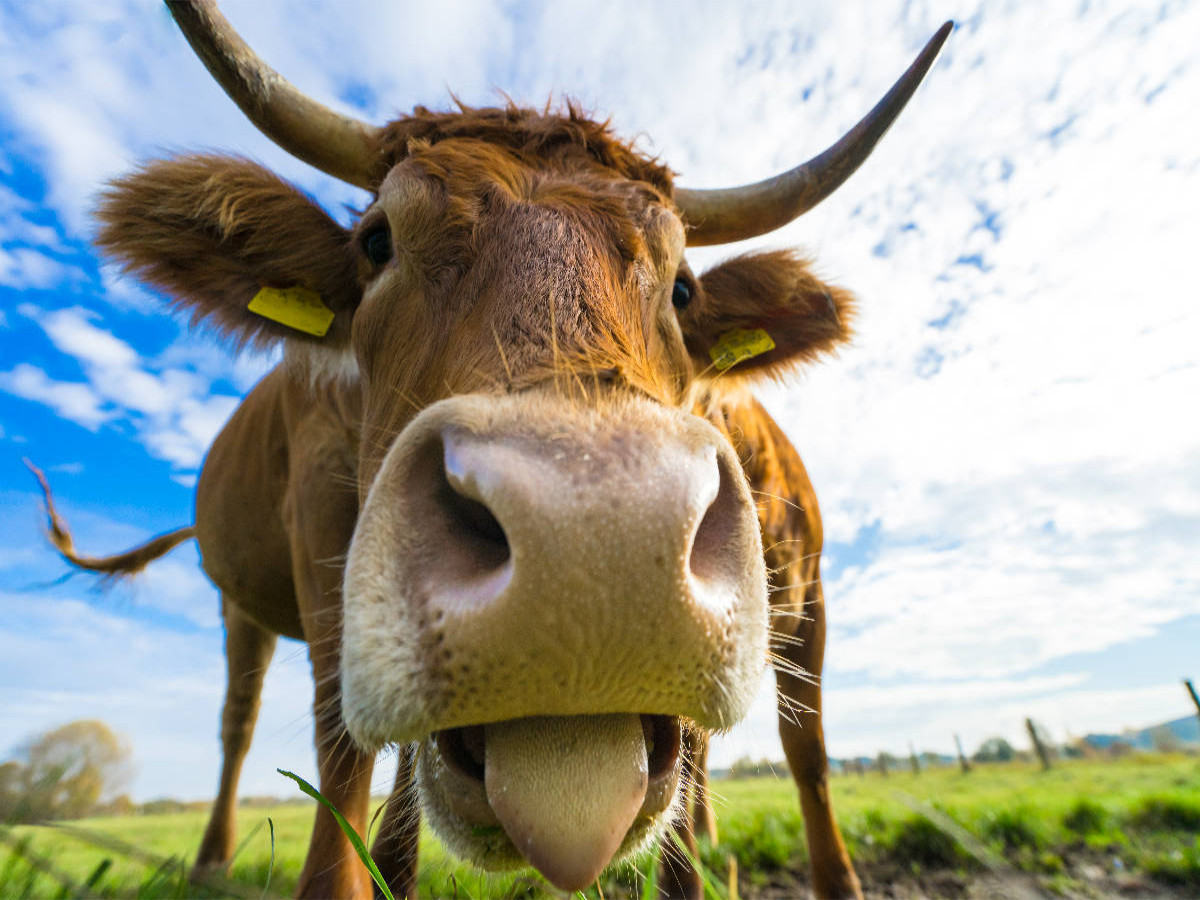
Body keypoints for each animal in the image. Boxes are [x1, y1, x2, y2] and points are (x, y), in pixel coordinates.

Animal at [32, 2, 950, 897]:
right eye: (376, 242)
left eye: (685, 288)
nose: (599, 541)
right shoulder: (324, 541)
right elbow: (341, 755)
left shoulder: (810, 607)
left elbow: (805, 757)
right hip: (245, 606)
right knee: (240, 721)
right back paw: (213, 861)